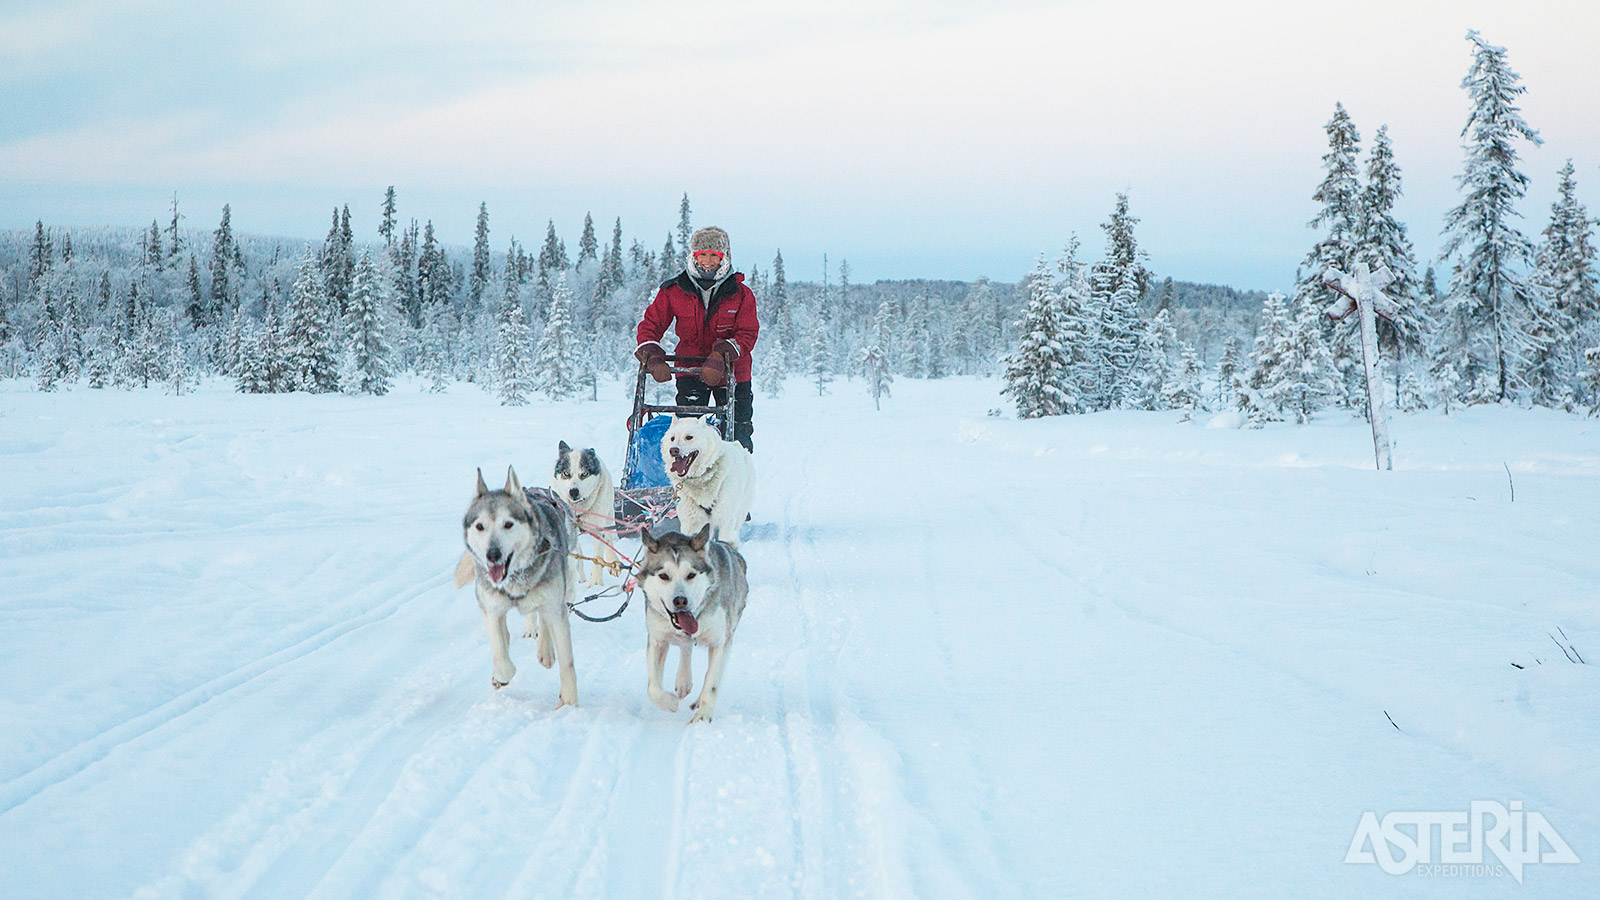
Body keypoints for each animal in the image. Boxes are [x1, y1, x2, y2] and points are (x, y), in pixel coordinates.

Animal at [457, 464, 582, 704]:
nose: (492, 554)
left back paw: (545, 651)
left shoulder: (556, 608)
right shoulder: (490, 609)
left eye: (508, 524)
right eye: (480, 526)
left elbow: (568, 663)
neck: (514, 579)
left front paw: (569, 702)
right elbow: (502, 659)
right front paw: (499, 676)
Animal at [553, 438, 620, 586]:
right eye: (566, 473)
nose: (573, 492)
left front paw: (596, 582)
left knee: (608, 539)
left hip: (608, 514)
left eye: (584, 474)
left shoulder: (598, 528)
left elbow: (598, 555)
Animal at [636, 525, 748, 720]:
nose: (680, 600)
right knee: (686, 648)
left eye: (691, 575)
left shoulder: (720, 642)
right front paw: (670, 703)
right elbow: (653, 688)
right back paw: (683, 682)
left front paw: (702, 718)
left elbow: (711, 683)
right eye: (664, 576)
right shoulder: (657, 639)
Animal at [665, 413, 758, 547]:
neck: (702, 477)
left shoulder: (726, 520)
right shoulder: (691, 523)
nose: (673, 450)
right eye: (672, 438)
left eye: (689, 437)